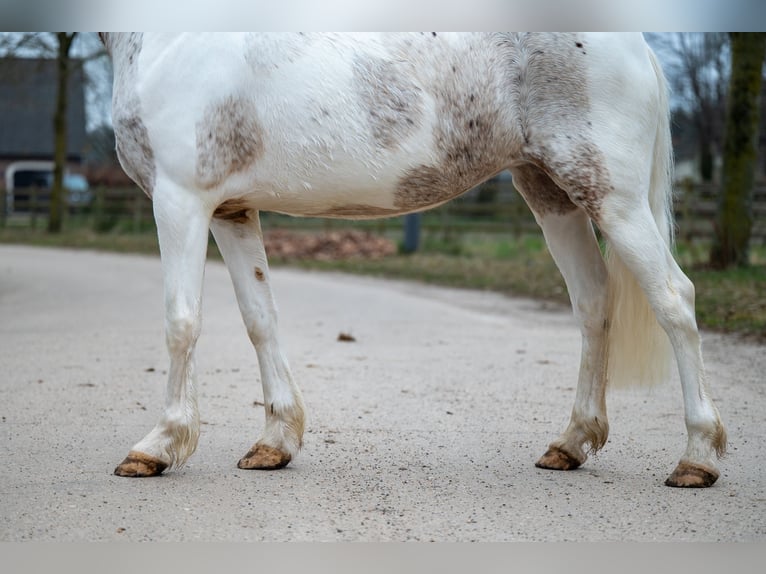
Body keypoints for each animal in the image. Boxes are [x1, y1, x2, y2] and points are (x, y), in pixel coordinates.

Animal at [100, 33, 728, 488]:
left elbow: (181, 322)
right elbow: (261, 321)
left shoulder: (180, 199)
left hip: (612, 197)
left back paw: (697, 459)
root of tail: (636, 43)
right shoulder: (232, 210)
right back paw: (570, 444)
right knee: (595, 302)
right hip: (550, 191)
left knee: (674, 299)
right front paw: (274, 444)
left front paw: (157, 447)